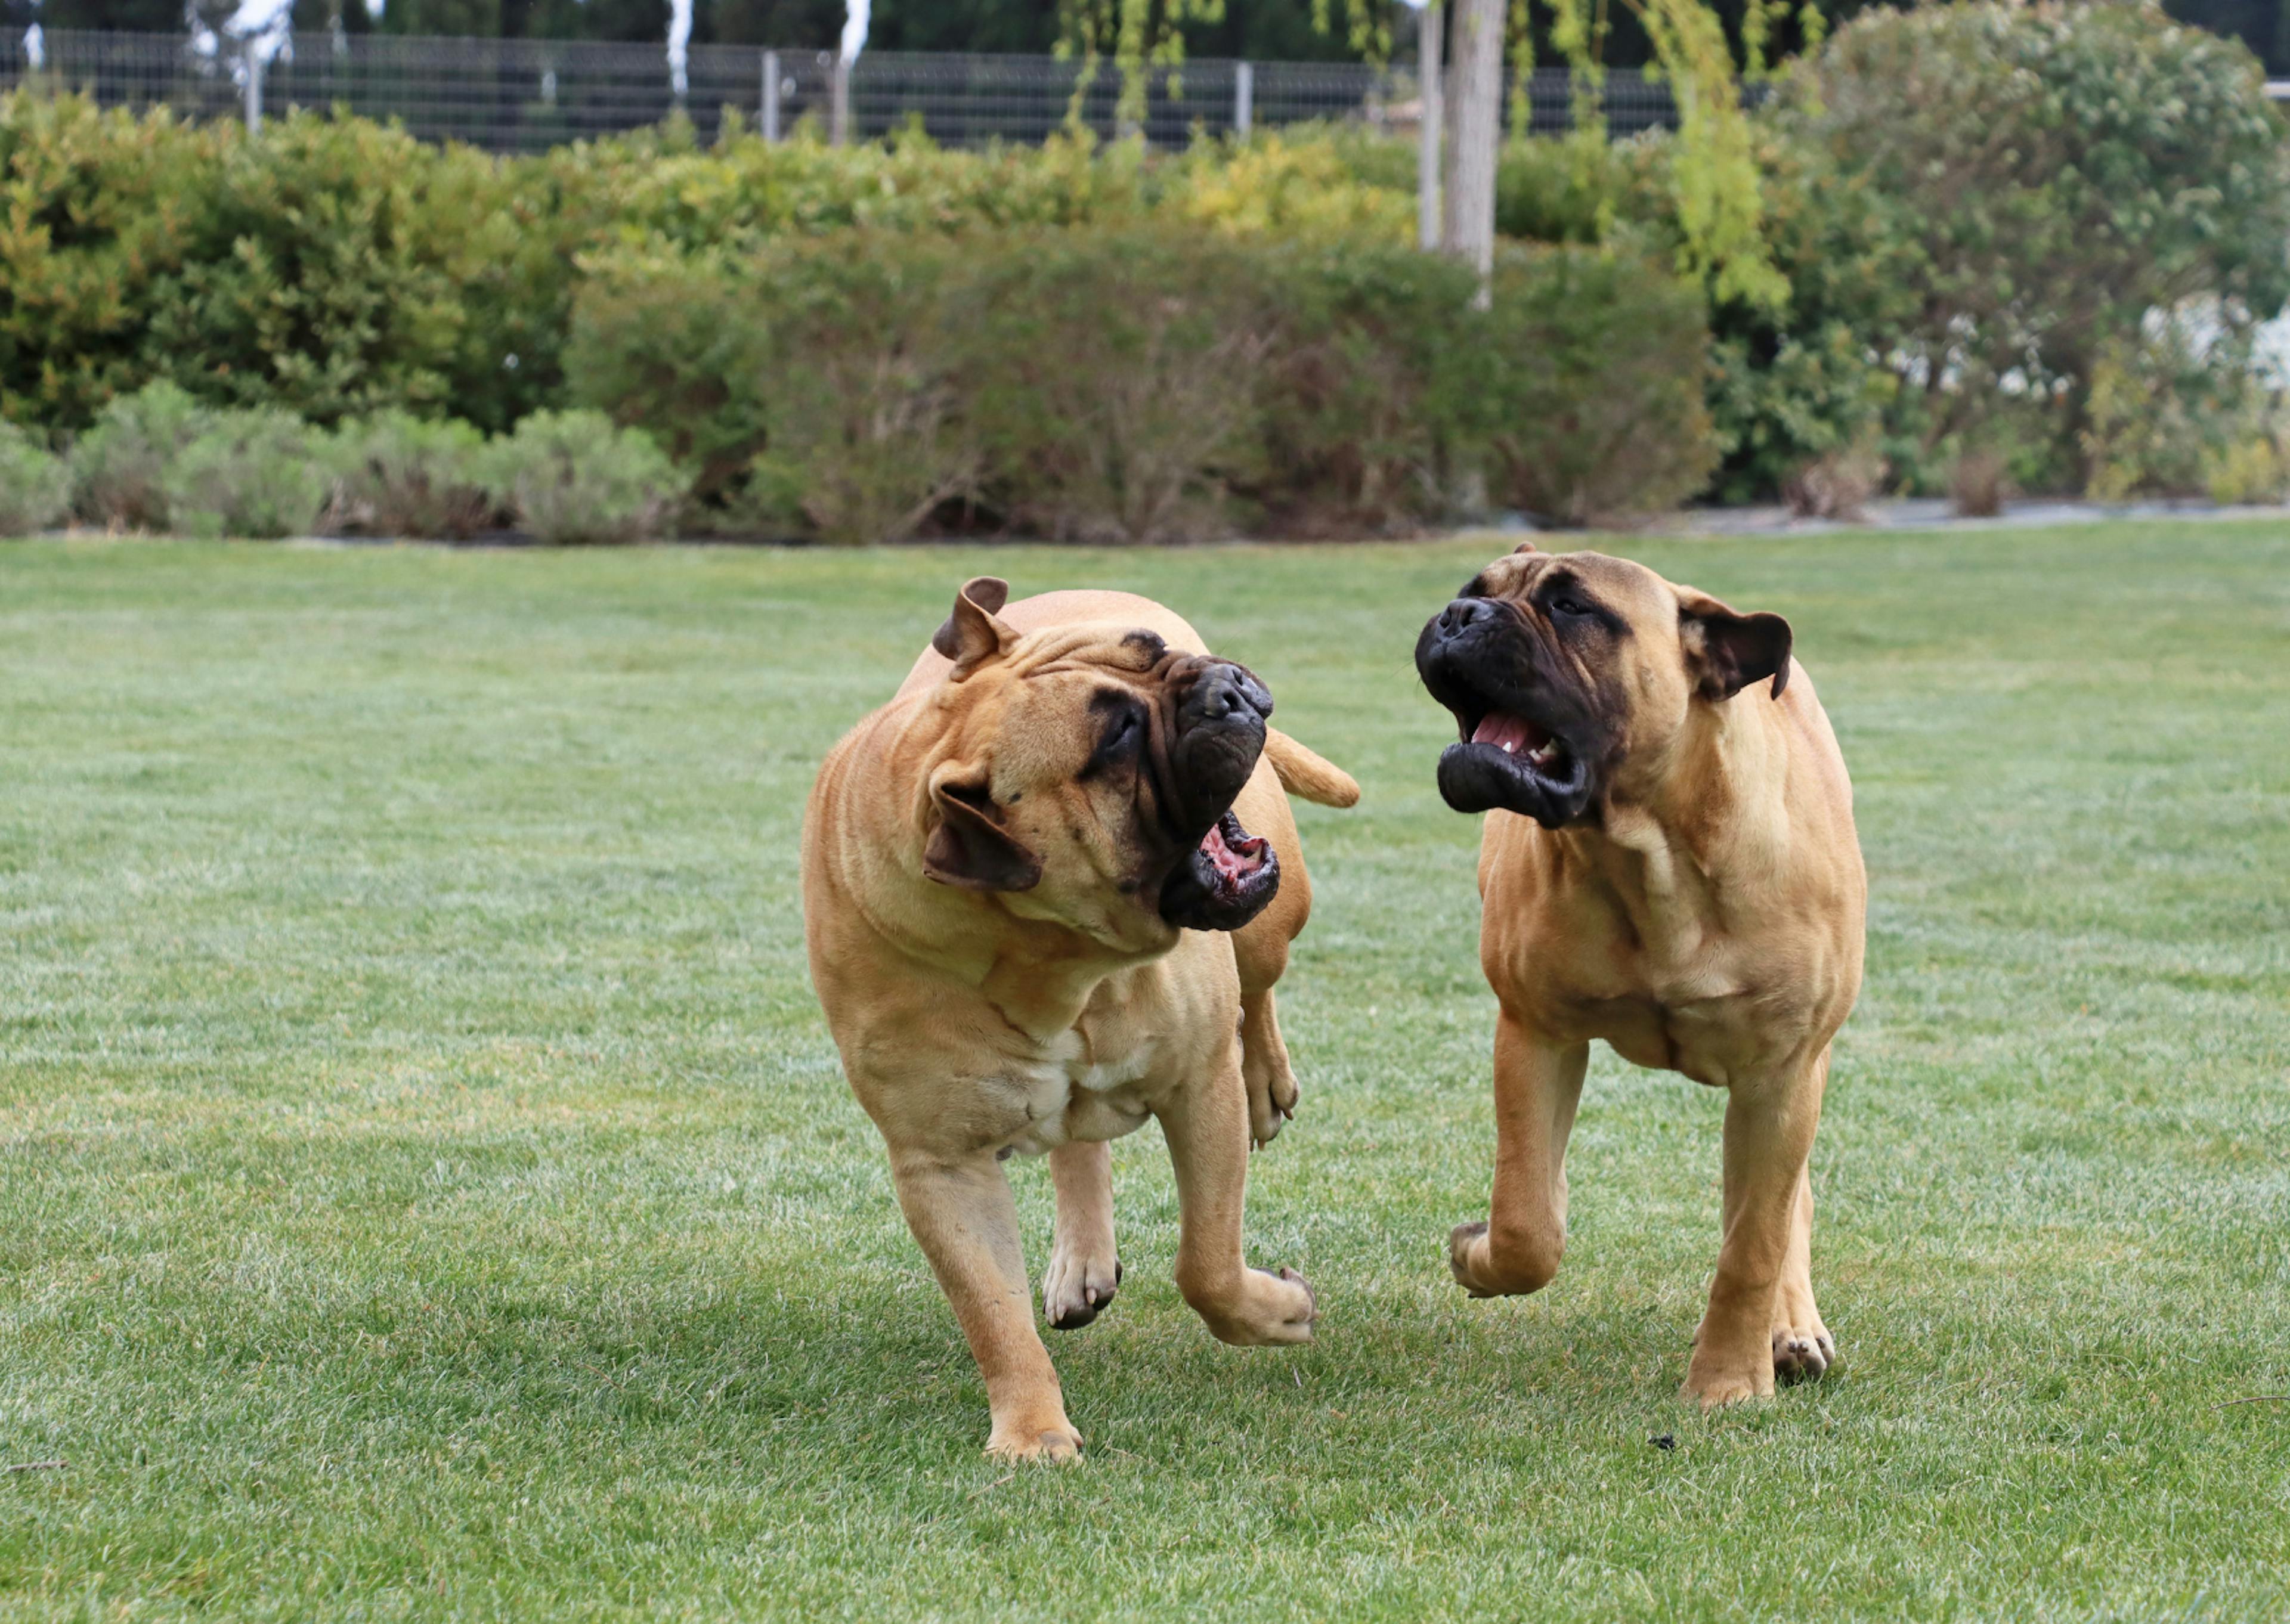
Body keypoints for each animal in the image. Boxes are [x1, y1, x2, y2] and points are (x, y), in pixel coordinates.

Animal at [806, 572, 1346, 1456]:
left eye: (1149, 651)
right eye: (1117, 739)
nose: (1227, 690)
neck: (1049, 955)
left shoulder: (1200, 1086)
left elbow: (1207, 1262)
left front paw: (1277, 1309)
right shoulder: (940, 1165)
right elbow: (992, 1314)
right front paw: (1030, 1433)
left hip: (1272, 917)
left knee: (1257, 985)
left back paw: (1265, 1081)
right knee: (1078, 1142)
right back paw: (1082, 1260)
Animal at [1410, 547, 1859, 1402]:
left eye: (1572, 606)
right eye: (1472, 592)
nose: (1456, 617)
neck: (1652, 853)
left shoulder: (1782, 1071)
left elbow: (1753, 1245)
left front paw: (1726, 1384)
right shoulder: (1536, 1032)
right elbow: (1526, 1220)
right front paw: (1479, 1254)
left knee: (1784, 1203)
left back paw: (1788, 1327)